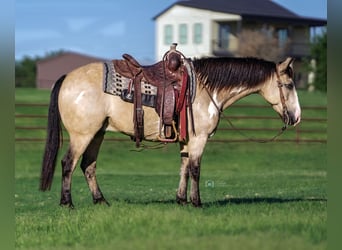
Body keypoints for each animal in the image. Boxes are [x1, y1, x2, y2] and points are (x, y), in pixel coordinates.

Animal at [40, 46, 300, 207]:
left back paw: (101, 201)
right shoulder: (199, 138)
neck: (206, 88)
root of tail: (67, 77)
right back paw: (67, 203)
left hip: (97, 134)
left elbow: (183, 168)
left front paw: (181, 199)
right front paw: (196, 202)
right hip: (82, 135)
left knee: (88, 165)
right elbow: (195, 169)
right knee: (68, 163)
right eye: (288, 85)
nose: (296, 117)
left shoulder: (186, 140)